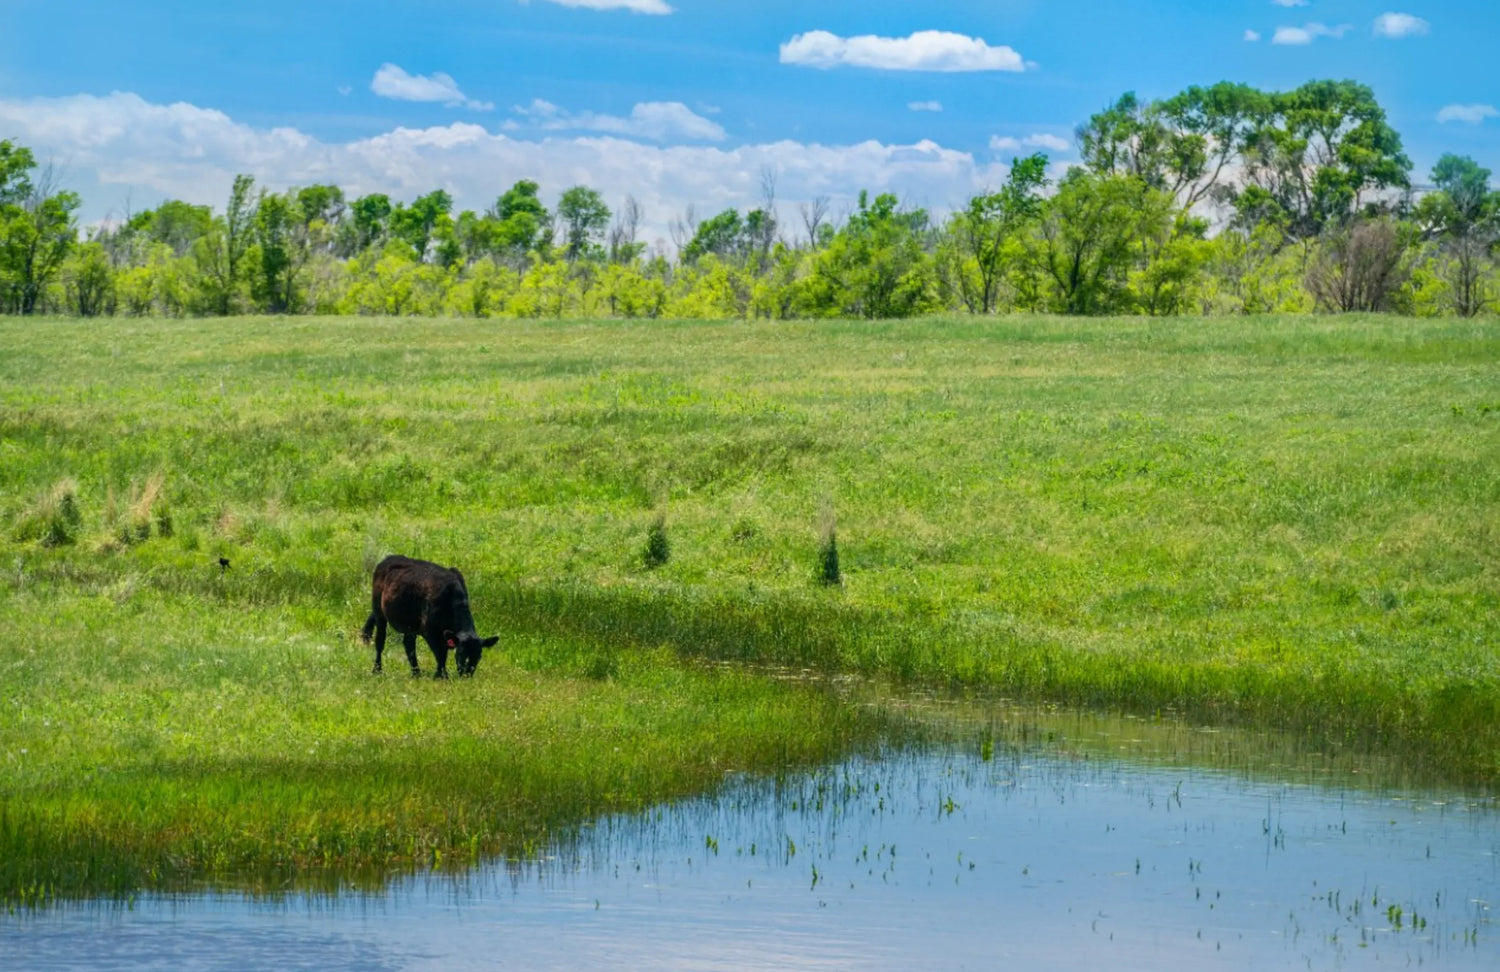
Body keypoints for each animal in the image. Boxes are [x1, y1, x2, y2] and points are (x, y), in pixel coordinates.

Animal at [360, 555, 501, 675]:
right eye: (461, 653)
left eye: (478, 656)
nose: (467, 674)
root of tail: (388, 558)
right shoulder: (430, 631)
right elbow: (441, 654)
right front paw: (441, 675)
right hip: (379, 612)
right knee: (380, 642)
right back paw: (377, 670)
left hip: (410, 623)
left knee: (408, 644)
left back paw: (416, 673)